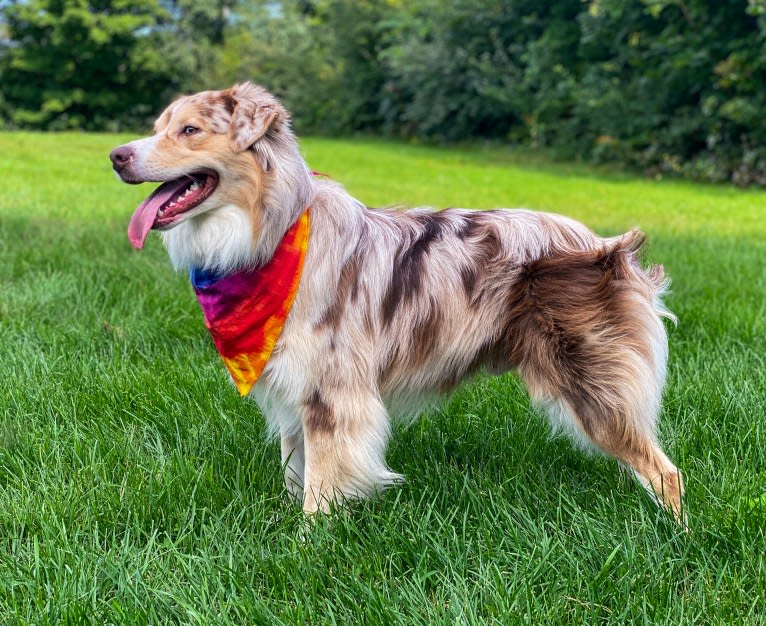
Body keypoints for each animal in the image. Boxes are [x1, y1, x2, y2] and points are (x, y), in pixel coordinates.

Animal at [108, 80, 684, 516]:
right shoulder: (296, 388)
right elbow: (294, 470)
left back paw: (673, 537)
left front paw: (307, 546)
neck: (270, 232)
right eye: (158, 127)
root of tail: (608, 247)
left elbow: (320, 486)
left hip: (589, 379)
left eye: (189, 130)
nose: (115, 156)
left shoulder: (331, 393)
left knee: (666, 472)